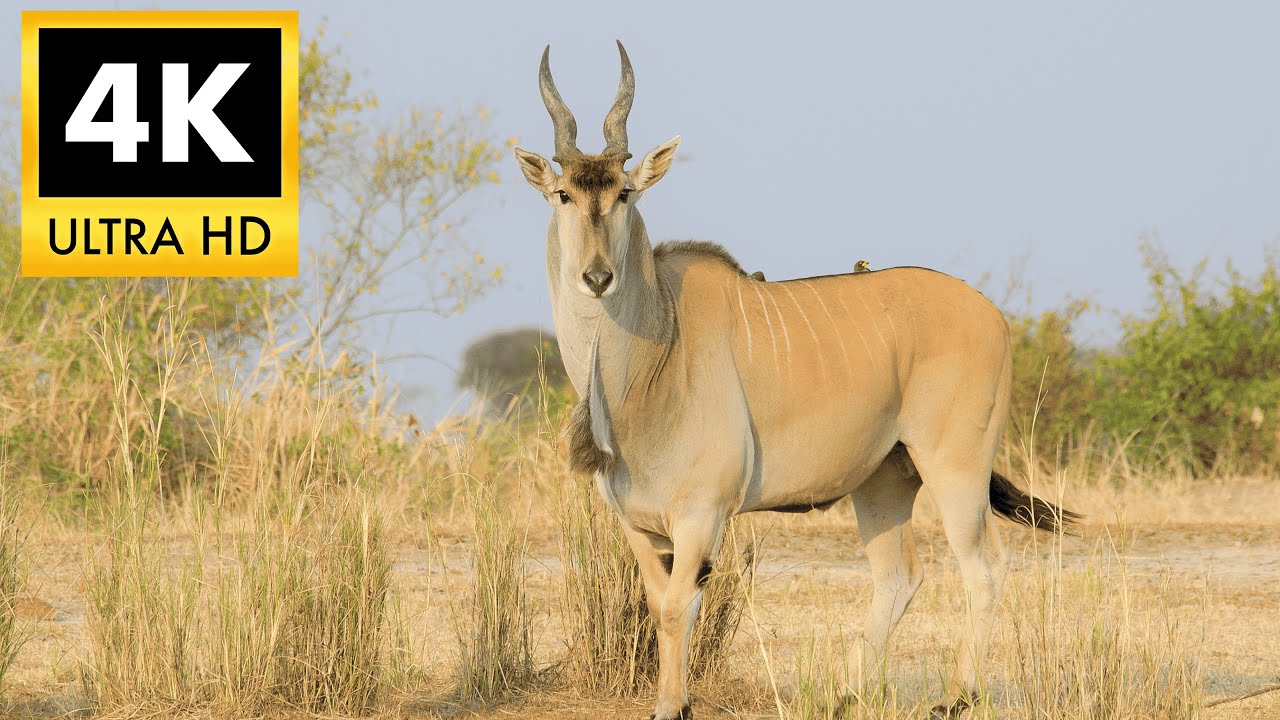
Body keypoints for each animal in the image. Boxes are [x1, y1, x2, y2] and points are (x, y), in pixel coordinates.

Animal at [514, 42, 1079, 720]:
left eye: (624, 194)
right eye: (563, 195)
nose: (597, 277)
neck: (655, 358)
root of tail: (992, 312)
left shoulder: (701, 515)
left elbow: (678, 610)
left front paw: (672, 706)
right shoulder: (639, 525)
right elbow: (658, 606)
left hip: (955, 466)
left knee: (983, 567)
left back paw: (957, 696)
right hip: (884, 480)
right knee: (899, 576)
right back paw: (844, 693)